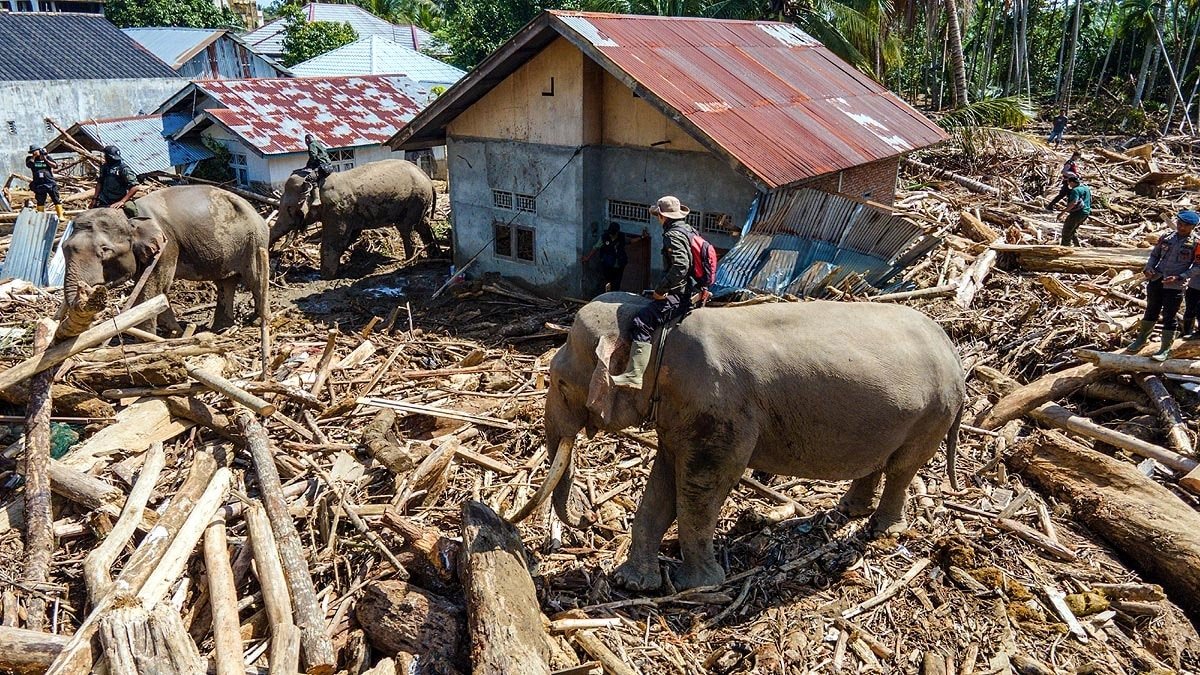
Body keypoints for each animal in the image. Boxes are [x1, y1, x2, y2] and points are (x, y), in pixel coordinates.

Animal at [60, 185, 269, 336]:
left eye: (105, 250)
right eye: (63, 247)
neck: (130, 217)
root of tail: (257, 211)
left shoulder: (166, 246)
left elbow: (154, 289)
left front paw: (146, 339)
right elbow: (155, 292)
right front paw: (174, 332)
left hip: (254, 241)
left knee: (254, 279)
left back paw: (257, 321)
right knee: (225, 282)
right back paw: (221, 329)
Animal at [269, 159, 441, 279]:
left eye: (289, 209)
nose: (274, 252)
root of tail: (427, 178)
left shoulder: (337, 209)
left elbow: (335, 238)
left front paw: (325, 276)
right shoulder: (347, 213)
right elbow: (351, 235)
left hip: (414, 200)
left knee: (406, 228)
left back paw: (408, 263)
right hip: (420, 202)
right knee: (422, 225)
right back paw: (433, 256)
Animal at [513, 293, 965, 592]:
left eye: (559, 383)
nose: (589, 521)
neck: (661, 332)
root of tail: (953, 350)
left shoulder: (720, 413)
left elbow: (702, 485)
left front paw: (699, 586)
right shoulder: (679, 415)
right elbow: (662, 483)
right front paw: (635, 584)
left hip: (931, 415)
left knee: (902, 468)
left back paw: (883, 528)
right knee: (878, 461)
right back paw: (849, 510)